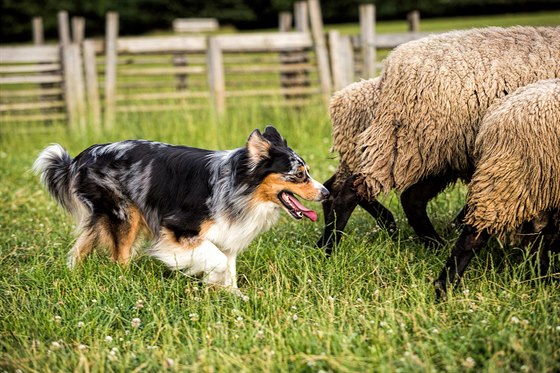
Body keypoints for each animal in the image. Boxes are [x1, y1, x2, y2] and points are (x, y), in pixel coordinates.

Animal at [35, 125, 328, 294]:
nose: (326, 192)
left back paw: (73, 274)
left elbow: (229, 266)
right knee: (119, 258)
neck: (240, 185)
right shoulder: (177, 228)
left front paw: (232, 294)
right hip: (124, 215)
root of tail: (80, 158)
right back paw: (123, 283)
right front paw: (212, 280)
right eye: (299, 174)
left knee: (80, 248)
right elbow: (218, 260)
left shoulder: (228, 233)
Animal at [328, 26, 560, 247]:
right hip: (407, 142)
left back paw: (433, 242)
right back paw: (330, 246)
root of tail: (391, 65)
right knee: (350, 190)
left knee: (403, 197)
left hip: (439, 152)